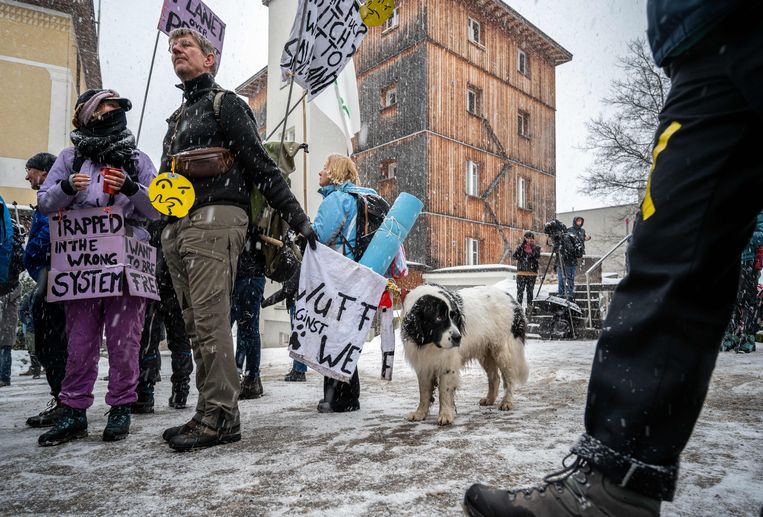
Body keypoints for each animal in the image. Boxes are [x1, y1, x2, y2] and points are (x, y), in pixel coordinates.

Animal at [400, 284, 532, 426]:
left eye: (454, 316)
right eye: (438, 317)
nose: (458, 337)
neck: (430, 343)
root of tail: (512, 300)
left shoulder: (448, 363)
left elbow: (444, 390)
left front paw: (445, 415)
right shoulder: (423, 364)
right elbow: (424, 392)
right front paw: (420, 413)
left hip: (502, 350)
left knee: (509, 378)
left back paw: (507, 401)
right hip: (486, 352)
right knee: (494, 377)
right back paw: (489, 399)